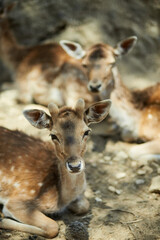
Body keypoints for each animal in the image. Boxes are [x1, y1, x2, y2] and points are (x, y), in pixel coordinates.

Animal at [0, 98, 111, 238]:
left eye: (87, 131)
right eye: (53, 136)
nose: (74, 166)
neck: (61, 197)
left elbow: (85, 205)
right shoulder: (18, 200)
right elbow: (52, 227)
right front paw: (2, 219)